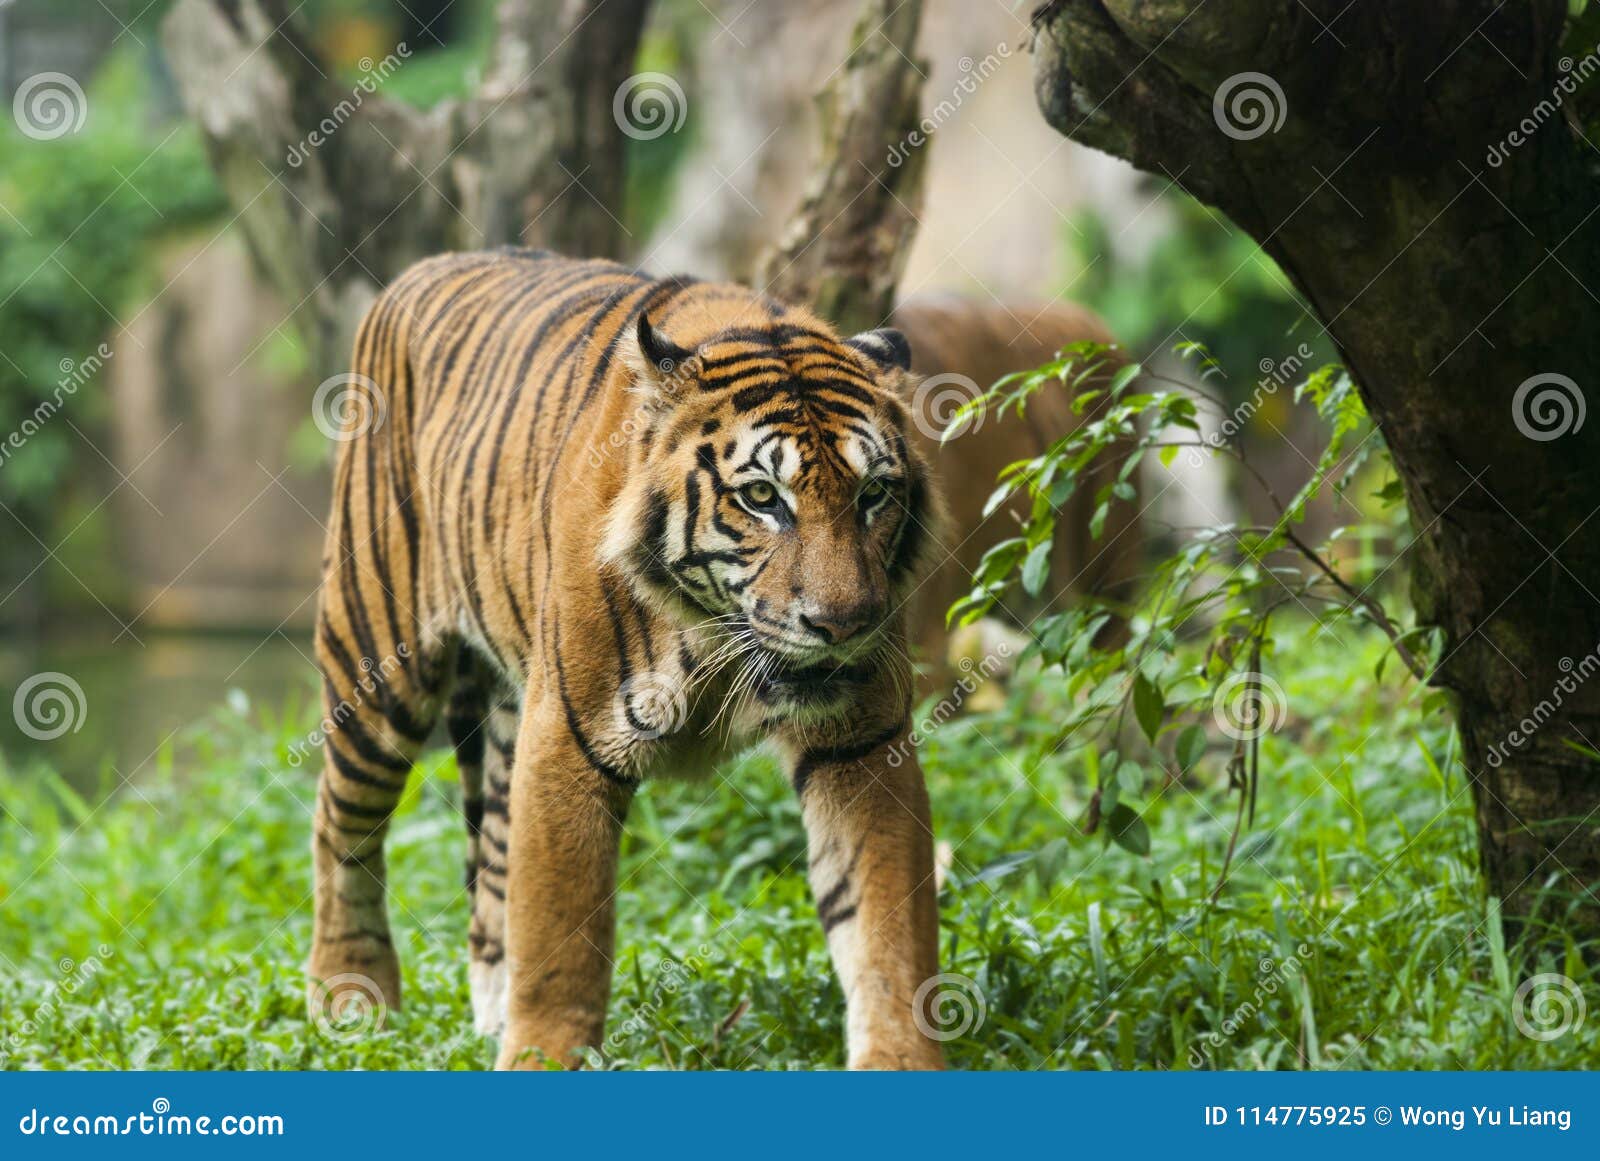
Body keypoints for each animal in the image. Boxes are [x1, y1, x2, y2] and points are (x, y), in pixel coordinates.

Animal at [309, 247, 950, 1070]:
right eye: (763, 497)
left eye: (874, 494)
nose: (843, 626)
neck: (716, 635)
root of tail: (422, 268)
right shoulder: (567, 740)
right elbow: (558, 939)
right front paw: (541, 1059)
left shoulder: (863, 744)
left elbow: (886, 925)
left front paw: (900, 1058)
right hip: (377, 662)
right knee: (339, 824)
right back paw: (350, 1001)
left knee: (489, 868)